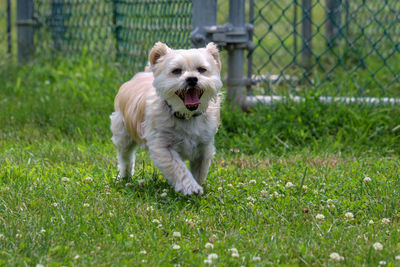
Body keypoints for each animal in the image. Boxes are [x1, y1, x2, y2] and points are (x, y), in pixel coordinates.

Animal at [109, 42, 222, 197]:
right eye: (176, 71)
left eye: (201, 70)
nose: (192, 78)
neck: (185, 115)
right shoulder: (162, 147)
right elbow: (178, 168)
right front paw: (191, 187)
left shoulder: (204, 147)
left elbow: (200, 171)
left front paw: (197, 184)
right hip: (123, 134)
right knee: (125, 158)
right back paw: (125, 177)